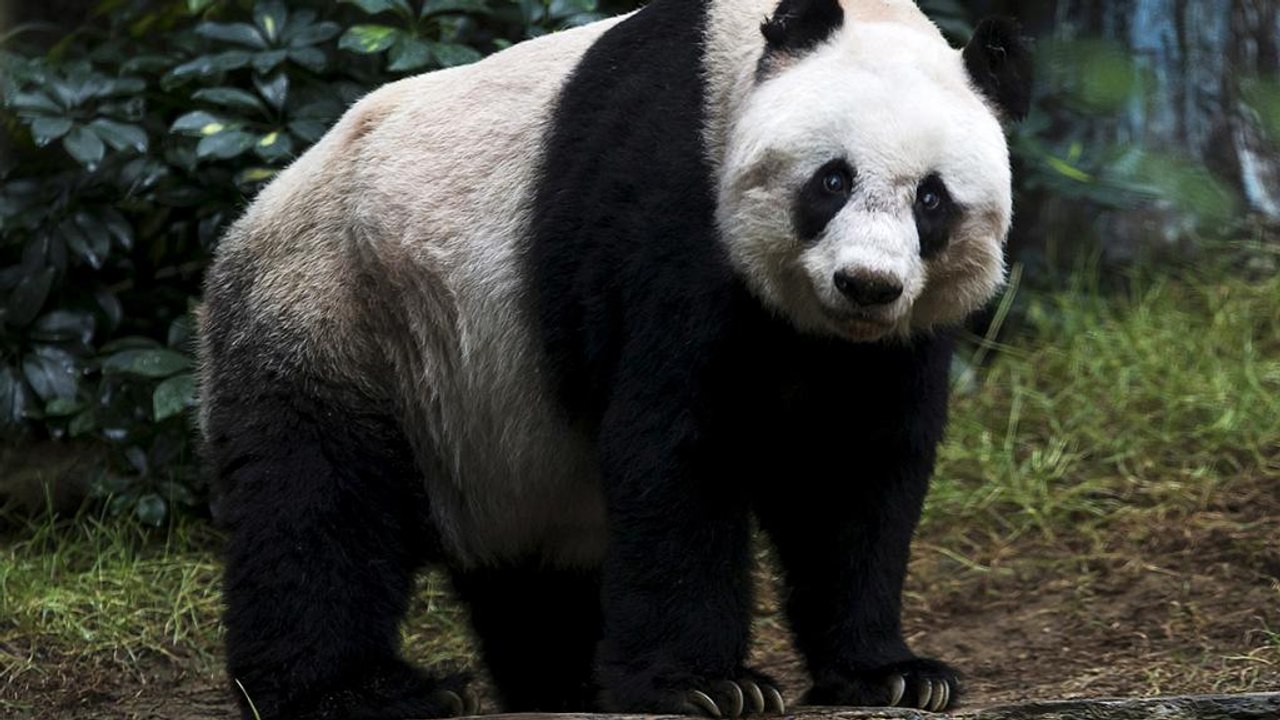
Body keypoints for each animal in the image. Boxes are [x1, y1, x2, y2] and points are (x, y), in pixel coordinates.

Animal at [197, 0, 1031, 718]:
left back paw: (561, 683)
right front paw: (708, 687)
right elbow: (678, 448)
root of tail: (247, 219)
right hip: (344, 314)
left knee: (534, 575)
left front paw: (895, 675)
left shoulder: (887, 345)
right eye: (832, 179)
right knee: (318, 505)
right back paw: (364, 693)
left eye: (932, 200)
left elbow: (852, 471)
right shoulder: (669, 207)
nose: (866, 284)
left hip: (493, 424)